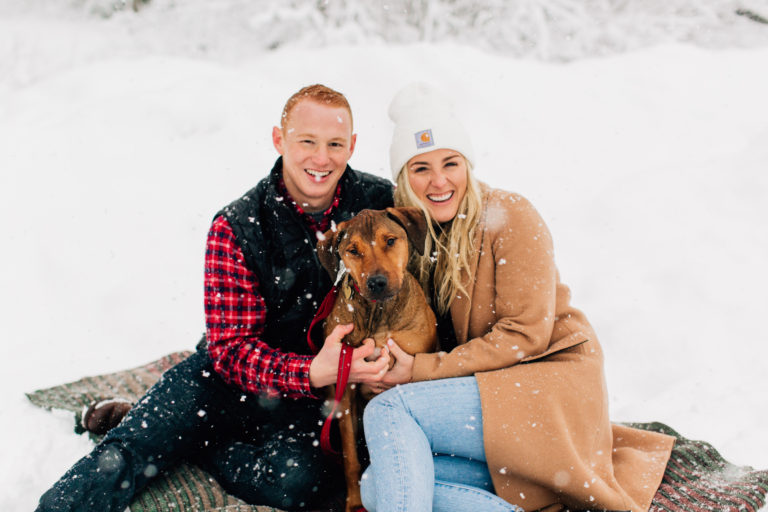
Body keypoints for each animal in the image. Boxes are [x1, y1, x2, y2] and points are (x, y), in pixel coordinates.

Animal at [318, 206, 438, 510]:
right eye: (353, 250)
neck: (378, 313)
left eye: (390, 241)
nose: (377, 282)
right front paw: (354, 502)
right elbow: (350, 456)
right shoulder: (345, 386)